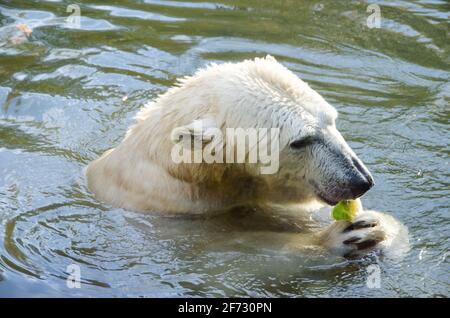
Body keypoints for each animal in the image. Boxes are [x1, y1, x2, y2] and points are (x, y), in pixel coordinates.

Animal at [87, 56, 408, 258]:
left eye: (332, 120)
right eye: (300, 141)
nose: (360, 181)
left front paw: (377, 225)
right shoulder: (173, 207)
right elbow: (241, 255)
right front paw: (343, 236)